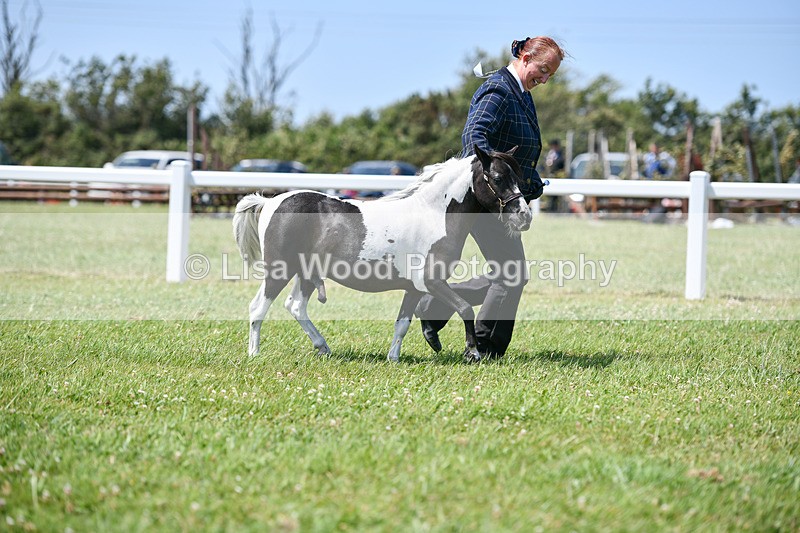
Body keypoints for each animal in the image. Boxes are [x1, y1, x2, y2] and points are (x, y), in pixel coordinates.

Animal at [232, 145, 532, 363]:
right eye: (497, 178)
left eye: (517, 178)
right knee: (258, 307)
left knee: (295, 306)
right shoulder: (432, 282)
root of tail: (270, 202)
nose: (524, 217)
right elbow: (466, 308)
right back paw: (254, 354)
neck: (434, 214)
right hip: (279, 270)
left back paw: (323, 347)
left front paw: (394, 358)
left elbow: (402, 323)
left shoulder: (414, 288)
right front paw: (473, 353)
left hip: (306, 273)